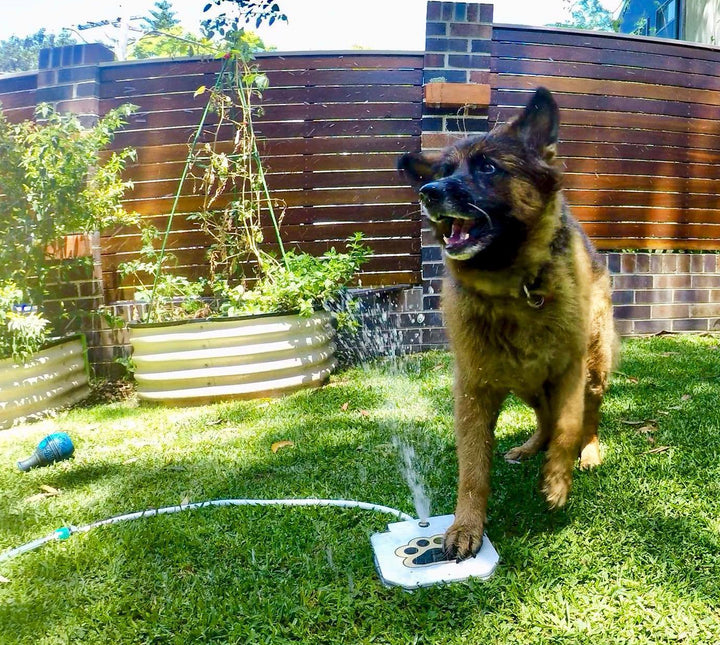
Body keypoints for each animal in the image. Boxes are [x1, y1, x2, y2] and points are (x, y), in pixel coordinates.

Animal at [396, 85, 616, 560]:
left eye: (488, 167)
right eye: (444, 170)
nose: (429, 191)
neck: (514, 288)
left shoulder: (570, 371)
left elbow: (568, 427)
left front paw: (558, 481)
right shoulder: (474, 389)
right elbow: (473, 468)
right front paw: (466, 525)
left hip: (592, 370)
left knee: (584, 419)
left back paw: (587, 453)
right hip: (525, 383)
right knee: (544, 419)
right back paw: (531, 448)